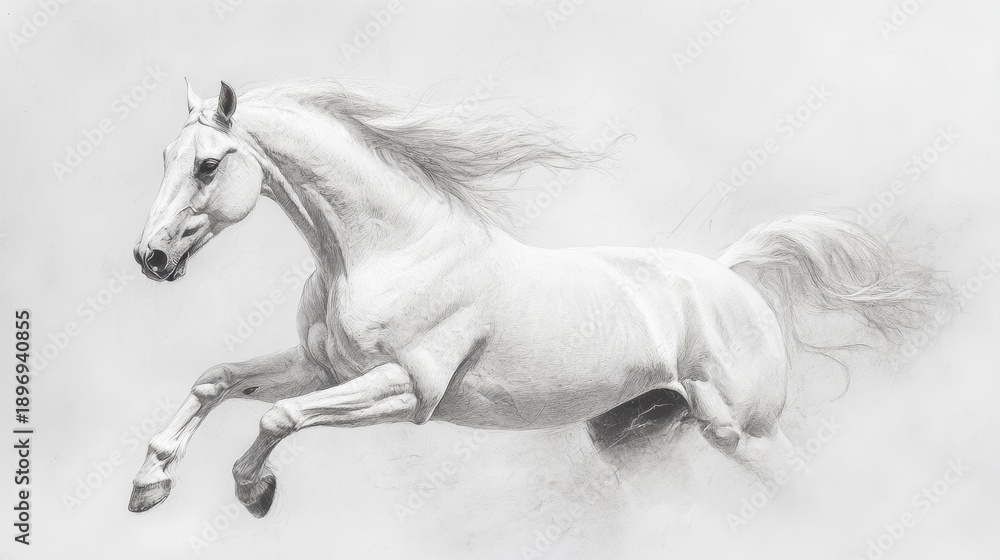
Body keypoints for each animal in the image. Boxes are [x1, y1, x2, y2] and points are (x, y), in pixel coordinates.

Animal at [128, 79, 946, 517]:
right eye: (164, 157)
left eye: (208, 165)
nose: (150, 257)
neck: (389, 249)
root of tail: (730, 278)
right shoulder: (325, 367)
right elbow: (218, 381)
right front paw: (148, 484)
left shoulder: (408, 389)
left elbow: (277, 414)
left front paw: (253, 489)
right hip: (636, 445)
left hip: (747, 435)